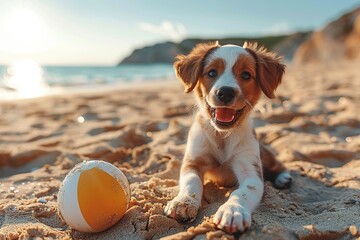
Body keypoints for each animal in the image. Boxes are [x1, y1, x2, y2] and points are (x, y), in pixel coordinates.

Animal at [165, 42, 292, 233]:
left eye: (246, 75)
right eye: (211, 73)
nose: (225, 92)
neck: (222, 136)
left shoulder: (251, 172)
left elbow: (241, 193)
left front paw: (232, 211)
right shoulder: (193, 162)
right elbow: (191, 182)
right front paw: (183, 202)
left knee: (277, 164)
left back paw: (283, 177)